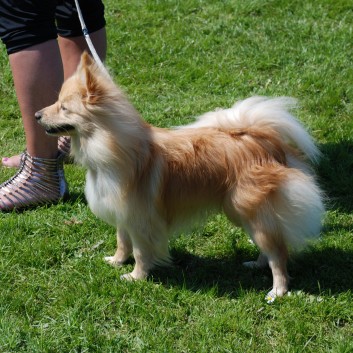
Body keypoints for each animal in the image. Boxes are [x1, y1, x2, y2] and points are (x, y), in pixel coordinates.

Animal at [36, 53, 324, 302]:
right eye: (56, 103)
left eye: (63, 108)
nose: (37, 115)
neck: (109, 147)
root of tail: (263, 142)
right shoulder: (123, 214)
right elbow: (122, 242)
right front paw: (117, 261)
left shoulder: (141, 220)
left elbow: (140, 252)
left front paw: (136, 277)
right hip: (246, 214)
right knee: (271, 245)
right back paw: (256, 264)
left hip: (250, 211)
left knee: (279, 252)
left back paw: (278, 290)